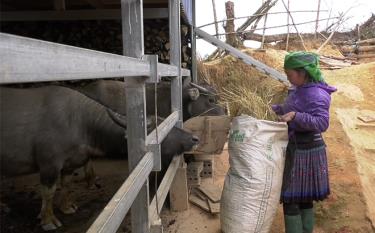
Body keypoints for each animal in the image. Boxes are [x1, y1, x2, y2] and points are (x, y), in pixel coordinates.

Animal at [0, 84, 200, 230]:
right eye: (159, 127)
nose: (194, 138)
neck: (81, 123)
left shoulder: (68, 165)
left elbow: (65, 185)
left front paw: (66, 207)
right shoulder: (49, 165)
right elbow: (48, 192)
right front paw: (48, 220)